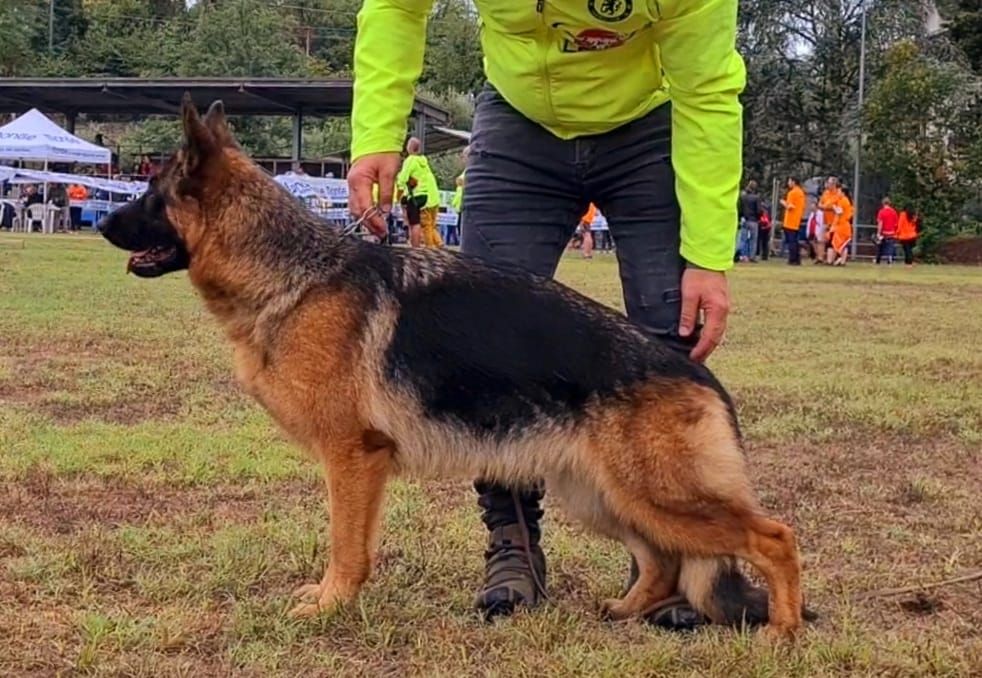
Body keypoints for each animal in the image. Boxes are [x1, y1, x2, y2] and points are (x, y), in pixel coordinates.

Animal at [98, 98, 808, 640]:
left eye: (151, 196)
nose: (103, 224)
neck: (295, 275)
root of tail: (699, 375)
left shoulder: (353, 459)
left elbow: (347, 547)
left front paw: (331, 604)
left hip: (656, 494)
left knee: (774, 537)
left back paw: (781, 632)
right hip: (602, 494)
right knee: (661, 560)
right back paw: (624, 610)